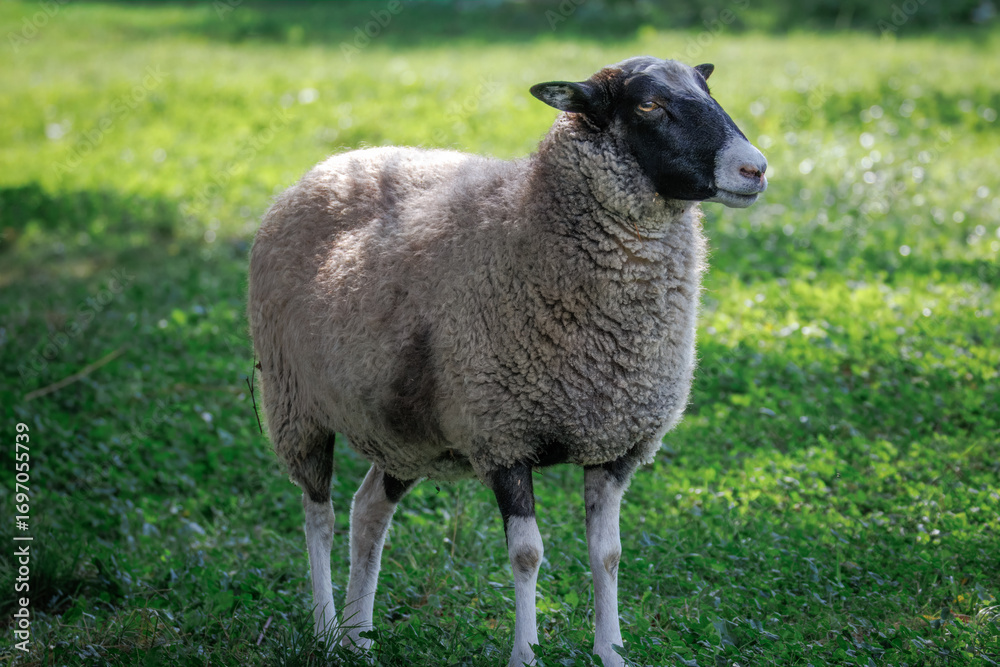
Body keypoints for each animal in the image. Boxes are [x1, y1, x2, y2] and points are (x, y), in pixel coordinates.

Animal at [248, 56, 767, 667]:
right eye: (648, 105)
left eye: (707, 89)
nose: (755, 169)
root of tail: (333, 163)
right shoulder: (502, 436)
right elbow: (527, 554)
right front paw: (525, 653)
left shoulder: (615, 441)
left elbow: (608, 553)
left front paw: (611, 651)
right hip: (295, 404)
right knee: (319, 516)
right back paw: (328, 630)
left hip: (405, 430)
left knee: (368, 510)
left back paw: (359, 636)